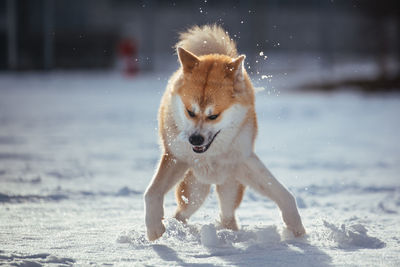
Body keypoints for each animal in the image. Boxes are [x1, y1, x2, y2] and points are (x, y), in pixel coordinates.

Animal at [144, 25, 304, 242]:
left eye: (214, 116)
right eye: (190, 112)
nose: (195, 139)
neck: (211, 154)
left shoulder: (243, 160)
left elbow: (283, 194)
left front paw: (297, 229)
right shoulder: (175, 157)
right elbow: (152, 192)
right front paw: (154, 230)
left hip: (229, 184)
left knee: (227, 214)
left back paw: (230, 234)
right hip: (195, 190)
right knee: (181, 214)